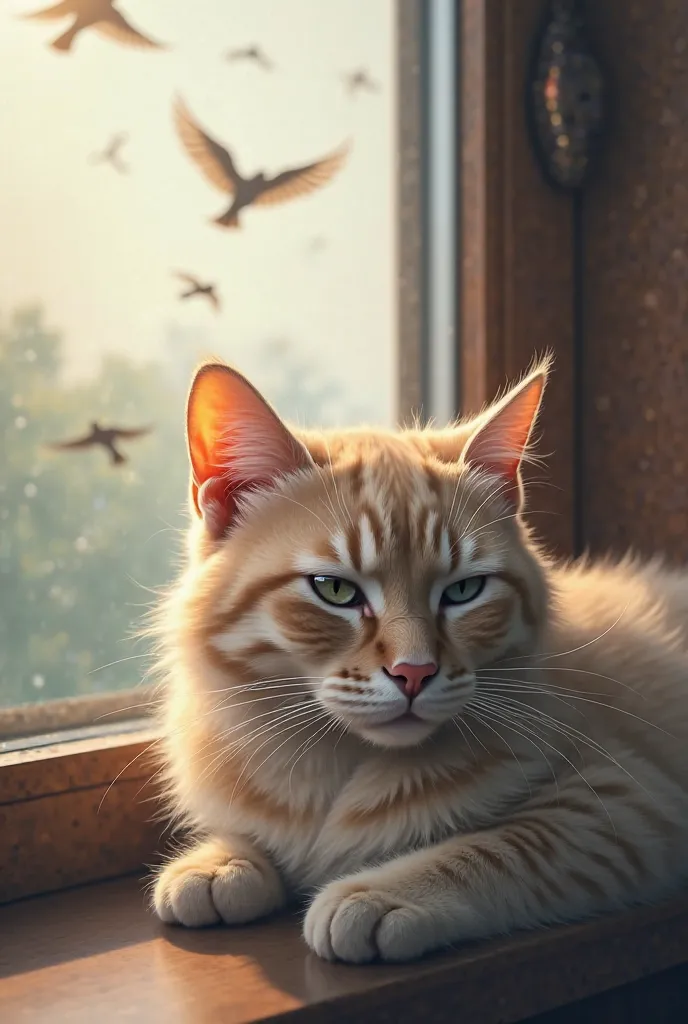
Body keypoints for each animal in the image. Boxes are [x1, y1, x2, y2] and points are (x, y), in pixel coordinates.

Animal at [153, 358, 688, 958]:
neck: (335, 760)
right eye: (335, 590)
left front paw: (379, 894)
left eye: (463, 591)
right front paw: (219, 861)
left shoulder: (621, 803)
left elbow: (495, 847)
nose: (415, 672)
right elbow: (251, 832)